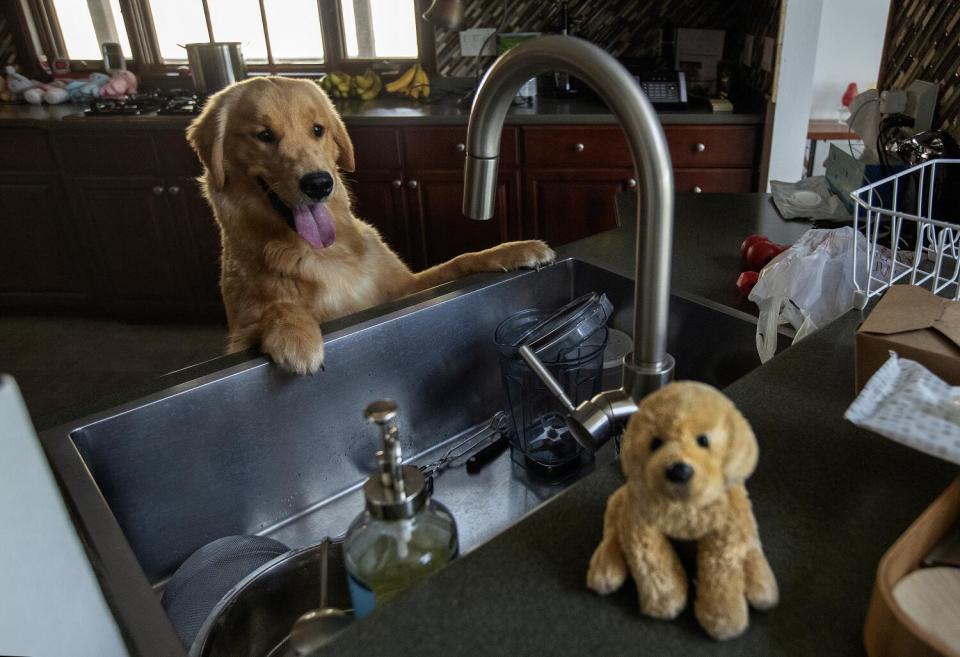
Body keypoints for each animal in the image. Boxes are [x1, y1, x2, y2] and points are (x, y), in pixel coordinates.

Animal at [186, 75, 556, 372]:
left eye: (317, 130)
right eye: (264, 135)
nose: (319, 184)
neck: (322, 252)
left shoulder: (404, 288)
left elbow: (459, 260)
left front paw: (513, 250)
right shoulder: (241, 332)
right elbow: (276, 309)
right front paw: (294, 334)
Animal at [584, 382, 780, 640]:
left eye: (703, 440)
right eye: (655, 443)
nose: (678, 471)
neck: (683, 505)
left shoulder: (724, 536)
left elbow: (721, 574)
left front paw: (723, 617)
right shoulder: (641, 526)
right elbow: (655, 566)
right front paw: (667, 602)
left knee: (751, 546)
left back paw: (761, 585)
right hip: (619, 504)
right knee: (613, 533)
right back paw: (605, 570)